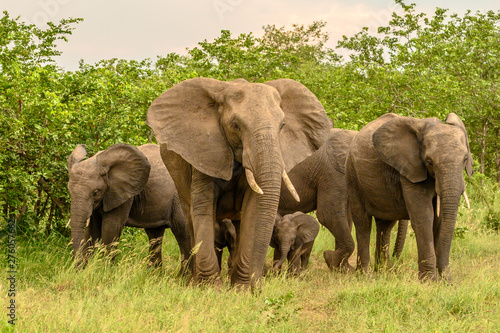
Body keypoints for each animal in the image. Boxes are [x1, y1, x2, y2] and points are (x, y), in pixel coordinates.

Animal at [146, 77, 330, 288]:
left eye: (282, 125)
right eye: (235, 125)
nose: (258, 288)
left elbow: (253, 210)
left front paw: (240, 289)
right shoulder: (204, 152)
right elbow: (203, 209)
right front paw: (210, 288)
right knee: (190, 218)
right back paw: (193, 281)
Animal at [346, 112, 470, 280]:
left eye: (465, 159)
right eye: (429, 162)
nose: (448, 281)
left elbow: (439, 220)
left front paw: (441, 282)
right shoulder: (411, 170)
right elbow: (424, 217)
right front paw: (429, 281)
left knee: (385, 225)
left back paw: (384, 271)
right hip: (352, 175)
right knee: (363, 223)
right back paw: (366, 275)